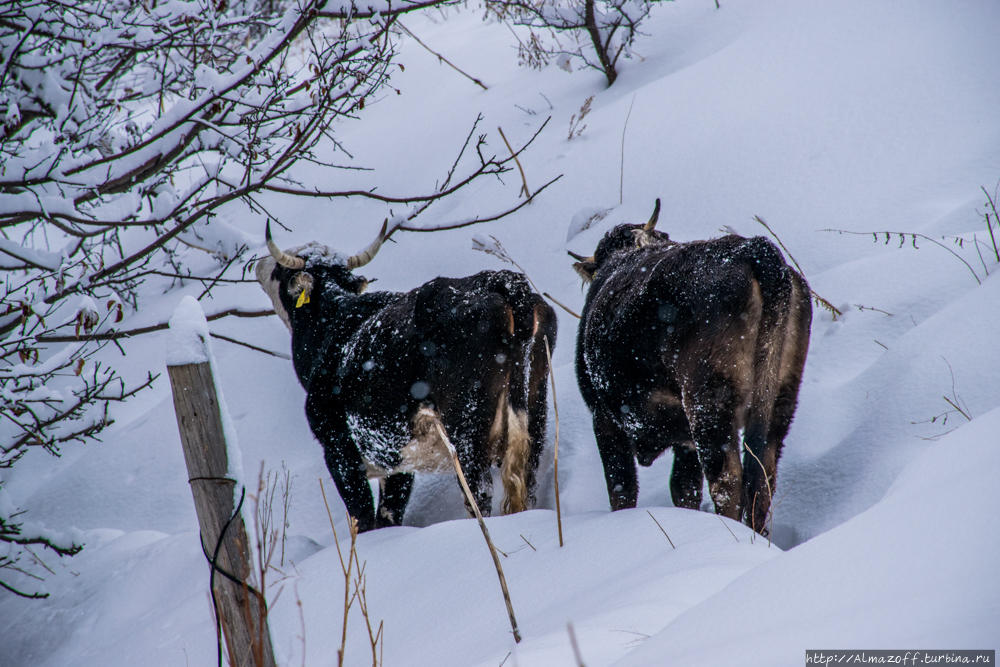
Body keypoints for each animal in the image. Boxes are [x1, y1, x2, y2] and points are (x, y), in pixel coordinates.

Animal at [256, 222, 556, 536]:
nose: (258, 263)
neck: (334, 325)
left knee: (478, 493)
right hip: (534, 412)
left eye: (279, 270)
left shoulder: (339, 448)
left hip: (467, 428)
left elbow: (363, 517)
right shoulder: (397, 463)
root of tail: (501, 280)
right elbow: (389, 514)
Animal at [572, 201, 812, 536]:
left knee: (727, 480)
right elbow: (684, 489)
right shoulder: (684, 441)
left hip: (708, 401)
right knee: (763, 476)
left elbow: (622, 488)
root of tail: (750, 247)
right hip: (782, 397)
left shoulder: (604, 418)